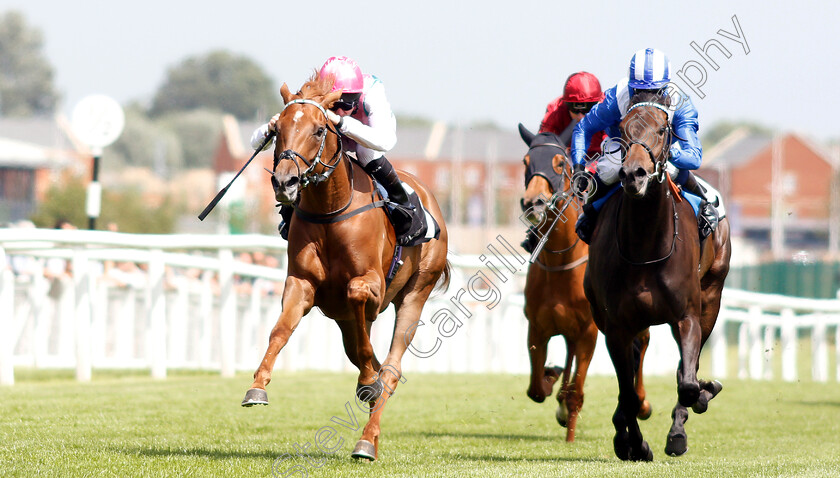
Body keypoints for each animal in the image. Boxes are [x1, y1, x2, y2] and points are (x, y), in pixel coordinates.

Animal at [241, 73, 450, 462]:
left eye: (319, 130)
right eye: (277, 130)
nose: (284, 182)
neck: (330, 212)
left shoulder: (373, 287)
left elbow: (357, 296)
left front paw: (369, 383)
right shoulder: (302, 283)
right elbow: (279, 331)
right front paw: (257, 387)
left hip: (416, 292)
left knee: (391, 369)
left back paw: (367, 440)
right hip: (344, 321)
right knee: (367, 355)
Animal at [520, 125, 648, 442]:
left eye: (559, 163)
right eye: (526, 162)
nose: (532, 203)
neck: (559, 265)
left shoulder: (589, 332)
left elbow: (576, 391)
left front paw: (570, 431)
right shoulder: (537, 328)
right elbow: (536, 389)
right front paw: (552, 380)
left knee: (642, 343)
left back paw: (642, 403)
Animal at [584, 92, 728, 460]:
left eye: (663, 129)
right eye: (622, 128)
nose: (634, 174)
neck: (645, 246)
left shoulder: (687, 315)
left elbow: (687, 383)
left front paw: (701, 394)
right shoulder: (617, 326)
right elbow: (630, 393)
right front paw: (634, 443)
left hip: (711, 297)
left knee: (686, 370)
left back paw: (682, 424)